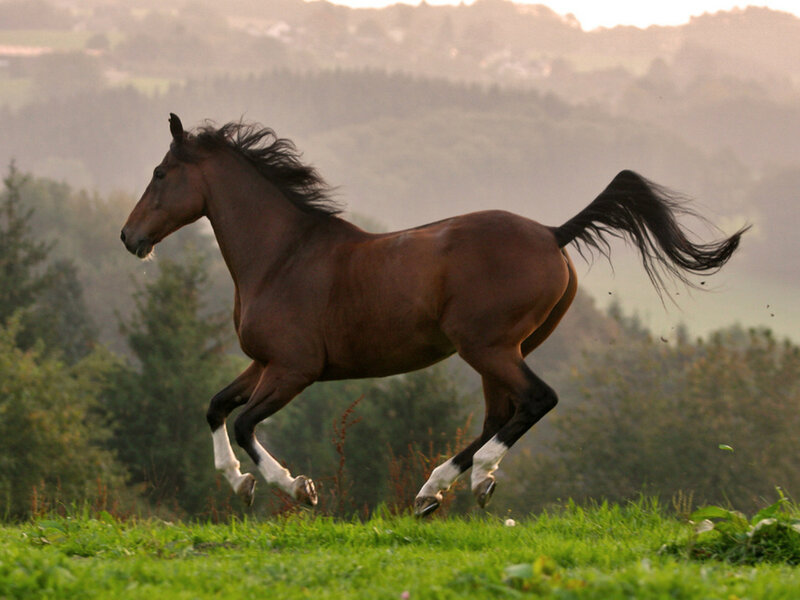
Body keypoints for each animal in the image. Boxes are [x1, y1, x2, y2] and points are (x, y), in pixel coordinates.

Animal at [121, 114, 748, 516]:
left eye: (159, 174)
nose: (129, 237)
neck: (281, 256)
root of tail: (552, 233)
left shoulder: (294, 369)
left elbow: (246, 422)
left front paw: (296, 488)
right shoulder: (264, 362)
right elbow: (216, 406)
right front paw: (239, 484)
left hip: (487, 347)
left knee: (534, 402)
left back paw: (465, 480)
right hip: (503, 350)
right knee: (502, 412)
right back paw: (439, 490)